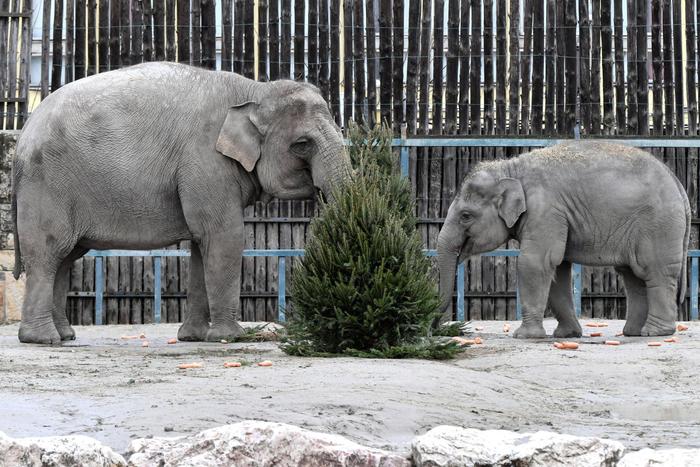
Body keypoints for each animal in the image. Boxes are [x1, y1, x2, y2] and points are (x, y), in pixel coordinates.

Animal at [15, 62, 356, 344]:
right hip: (47, 184)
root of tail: (22, 134)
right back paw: (42, 339)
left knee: (66, 256)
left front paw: (193, 337)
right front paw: (229, 337)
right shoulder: (206, 160)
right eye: (302, 144)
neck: (255, 90)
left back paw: (65, 335)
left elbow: (201, 245)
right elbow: (225, 237)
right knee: (48, 252)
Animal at [438, 141, 688, 338]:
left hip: (659, 225)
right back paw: (633, 332)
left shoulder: (546, 210)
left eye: (465, 216)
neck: (511, 168)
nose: (439, 327)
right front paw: (568, 334)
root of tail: (678, 182)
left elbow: (535, 263)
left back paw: (655, 332)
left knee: (655, 271)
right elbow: (557, 269)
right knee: (632, 275)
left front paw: (525, 336)